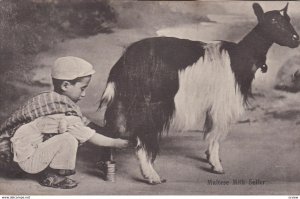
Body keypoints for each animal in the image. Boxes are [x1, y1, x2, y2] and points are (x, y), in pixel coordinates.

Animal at [99, 2, 298, 184]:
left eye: (288, 19)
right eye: (273, 21)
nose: (296, 39)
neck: (239, 58)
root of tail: (124, 60)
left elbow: (211, 131)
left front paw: (211, 158)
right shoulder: (222, 104)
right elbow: (215, 134)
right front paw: (216, 165)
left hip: (123, 100)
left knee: (112, 131)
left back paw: (109, 167)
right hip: (151, 103)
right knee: (142, 137)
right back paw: (152, 176)